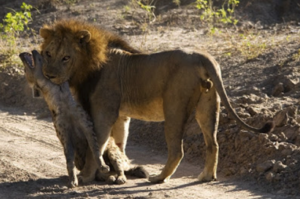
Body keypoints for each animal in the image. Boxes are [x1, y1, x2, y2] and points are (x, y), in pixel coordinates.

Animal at [38, 19, 274, 184]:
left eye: (66, 57)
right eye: (48, 53)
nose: (48, 75)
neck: (89, 64)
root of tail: (203, 55)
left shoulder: (103, 112)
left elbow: (95, 145)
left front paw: (86, 176)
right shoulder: (121, 116)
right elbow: (119, 143)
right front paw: (118, 172)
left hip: (174, 108)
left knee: (177, 150)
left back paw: (159, 178)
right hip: (208, 106)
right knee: (213, 143)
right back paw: (206, 176)